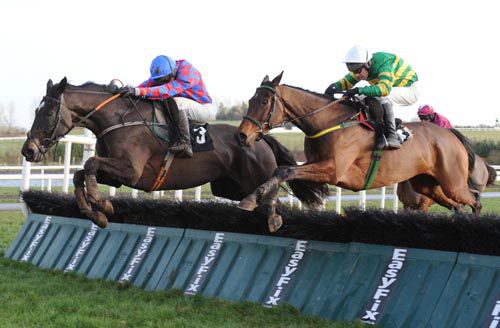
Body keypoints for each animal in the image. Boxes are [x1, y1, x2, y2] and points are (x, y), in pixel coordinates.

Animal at [20, 77, 320, 228]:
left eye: (48, 112)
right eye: (35, 110)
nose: (28, 150)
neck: (118, 119)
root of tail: (259, 137)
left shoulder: (131, 171)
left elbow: (91, 163)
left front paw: (100, 203)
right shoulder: (115, 175)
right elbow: (80, 174)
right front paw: (95, 211)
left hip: (254, 177)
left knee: (273, 195)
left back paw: (275, 219)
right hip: (228, 187)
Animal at [236, 72, 482, 231]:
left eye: (264, 101)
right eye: (250, 100)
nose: (242, 136)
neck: (327, 121)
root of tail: (451, 135)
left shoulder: (333, 170)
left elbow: (284, 171)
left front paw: (252, 200)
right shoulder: (314, 164)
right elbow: (280, 171)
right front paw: (267, 210)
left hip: (453, 183)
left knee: (475, 199)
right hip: (427, 184)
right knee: (458, 206)